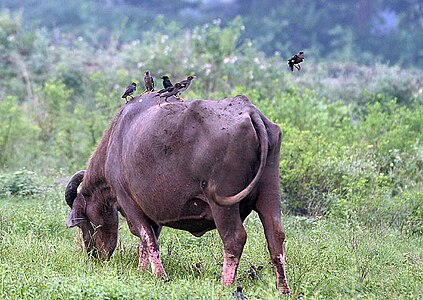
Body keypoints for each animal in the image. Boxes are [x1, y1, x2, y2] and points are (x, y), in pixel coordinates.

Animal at [64, 92, 292, 292]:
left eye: (83, 222)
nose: (94, 256)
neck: (116, 140)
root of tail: (250, 111)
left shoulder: (130, 203)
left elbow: (147, 238)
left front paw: (160, 276)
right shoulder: (152, 211)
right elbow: (146, 242)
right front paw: (142, 270)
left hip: (222, 207)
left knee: (234, 238)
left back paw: (225, 284)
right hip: (270, 195)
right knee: (275, 237)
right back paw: (283, 288)